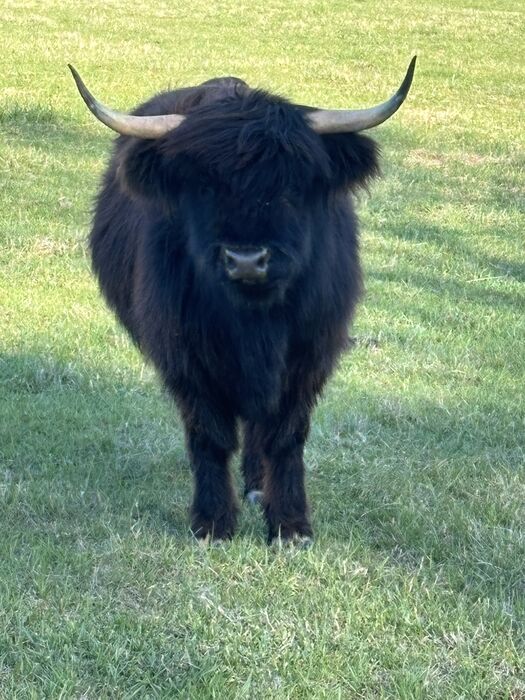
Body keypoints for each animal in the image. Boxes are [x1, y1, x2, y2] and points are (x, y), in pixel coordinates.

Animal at [70, 57, 416, 545]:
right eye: (204, 186)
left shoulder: (308, 357)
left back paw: (256, 486)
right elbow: (210, 436)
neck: (254, 323)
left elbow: (286, 436)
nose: (247, 260)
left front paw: (290, 525)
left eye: (291, 185)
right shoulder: (186, 360)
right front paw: (213, 523)